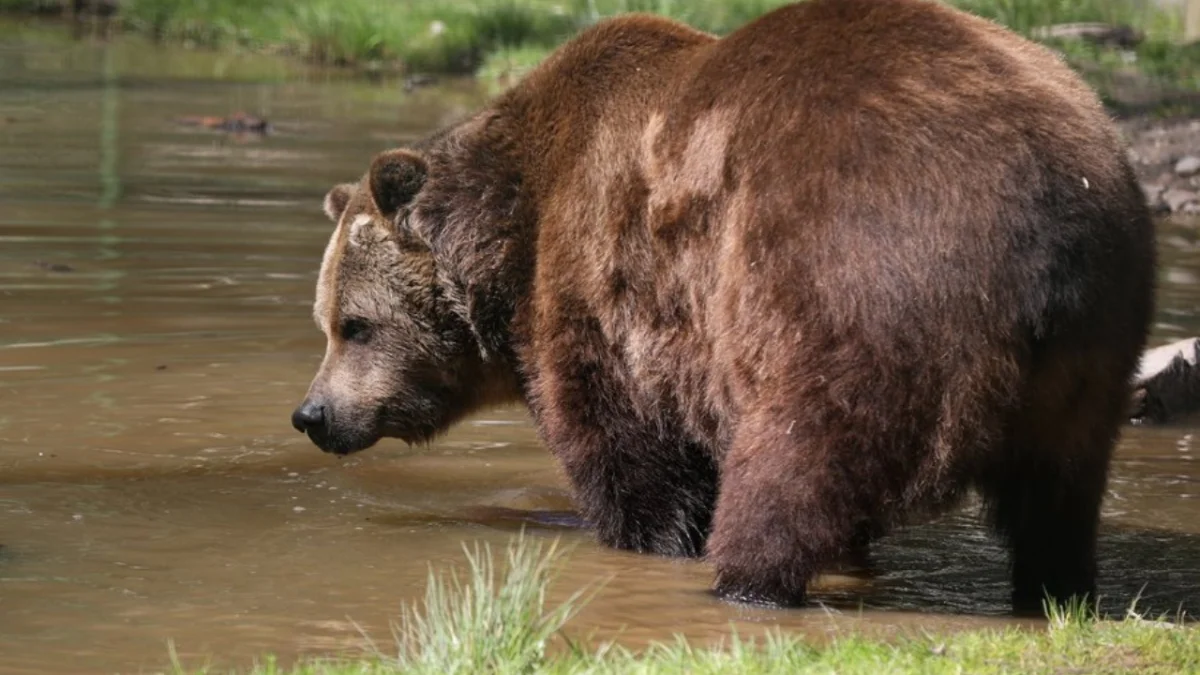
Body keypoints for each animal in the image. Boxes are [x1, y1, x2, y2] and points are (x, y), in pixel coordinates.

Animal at [288, 0, 1152, 612]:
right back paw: (1054, 585)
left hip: (851, 279)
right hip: (1093, 344)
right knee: (1059, 492)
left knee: (799, 453)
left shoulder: (605, 290)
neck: (510, 229)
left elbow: (628, 453)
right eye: (328, 323)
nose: (313, 413)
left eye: (354, 325)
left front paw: (639, 536)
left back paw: (746, 576)